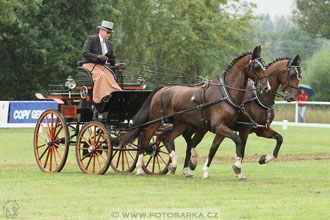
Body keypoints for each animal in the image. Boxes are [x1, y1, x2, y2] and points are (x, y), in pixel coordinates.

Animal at [120, 46, 270, 179]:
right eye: (257, 66)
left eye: (265, 66)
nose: (266, 87)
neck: (225, 94)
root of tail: (162, 89)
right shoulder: (219, 127)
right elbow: (238, 141)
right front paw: (236, 167)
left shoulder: (222, 128)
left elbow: (214, 149)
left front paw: (210, 171)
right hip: (155, 122)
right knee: (145, 141)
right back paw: (139, 169)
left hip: (180, 125)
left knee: (167, 139)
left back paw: (174, 165)